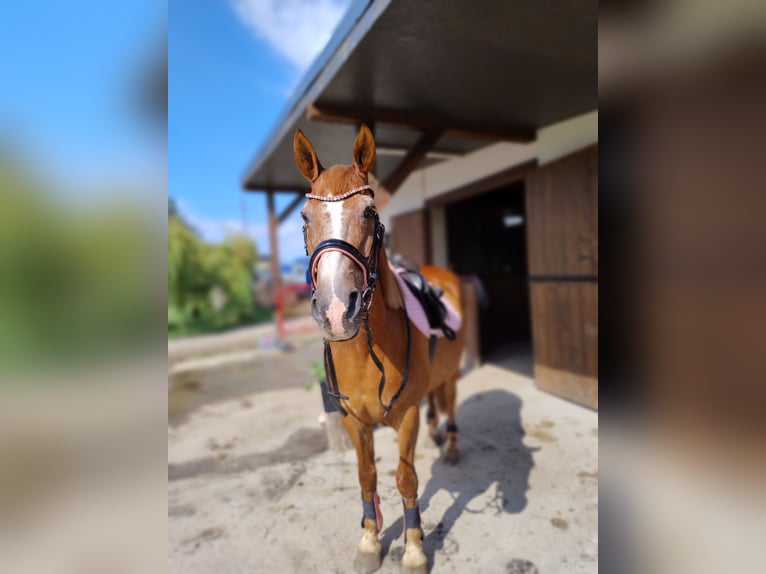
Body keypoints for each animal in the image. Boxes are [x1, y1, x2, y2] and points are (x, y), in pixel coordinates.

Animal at [296, 127, 468, 574]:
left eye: (370, 212)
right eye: (305, 218)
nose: (337, 310)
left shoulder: (405, 416)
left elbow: (406, 479)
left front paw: (413, 548)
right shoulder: (353, 421)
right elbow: (367, 477)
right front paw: (370, 541)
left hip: (451, 374)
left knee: (450, 402)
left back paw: (452, 445)